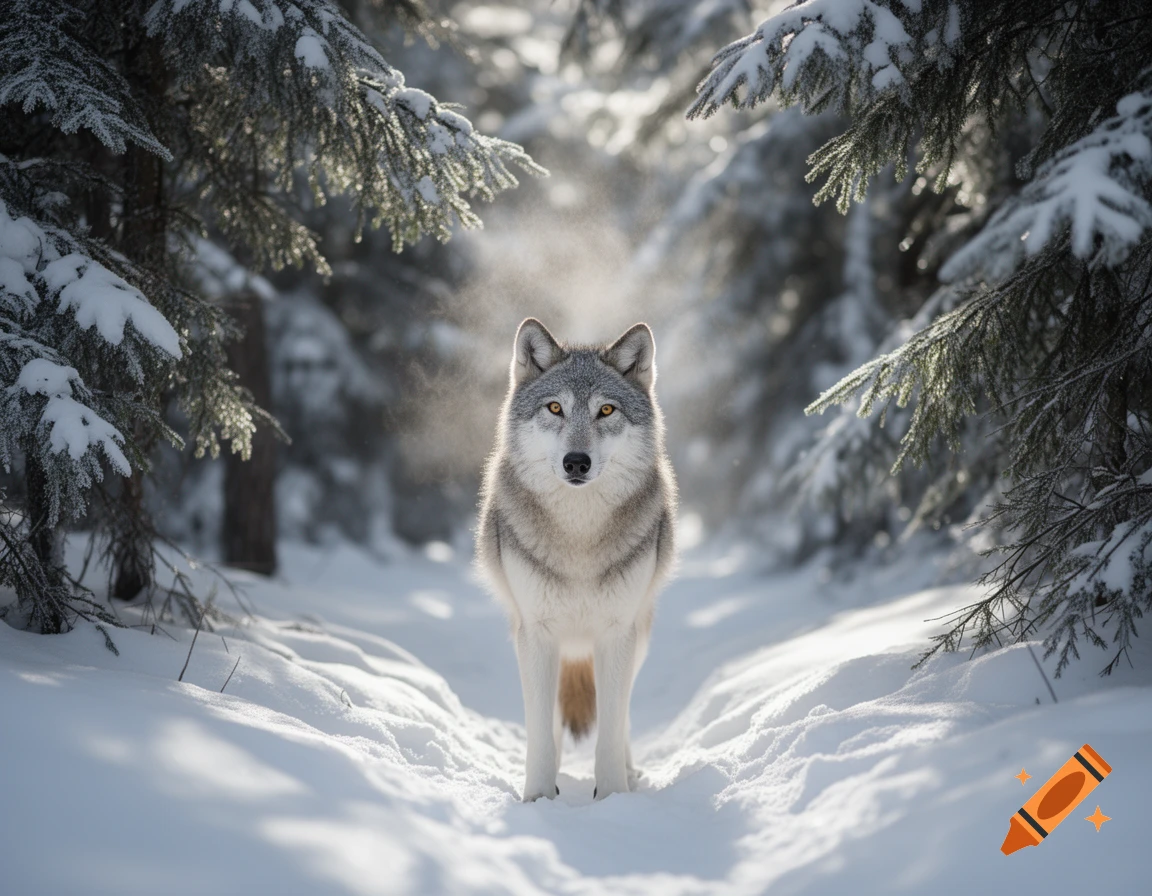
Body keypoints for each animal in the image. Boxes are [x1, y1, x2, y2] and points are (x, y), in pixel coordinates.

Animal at [476, 318, 677, 802]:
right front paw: (538, 798)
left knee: (621, 714)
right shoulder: (536, 632)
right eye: (555, 408)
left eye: (606, 410)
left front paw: (613, 797)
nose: (576, 462)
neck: (578, 539)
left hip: (639, 636)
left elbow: (611, 728)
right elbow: (539, 730)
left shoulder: (617, 633)